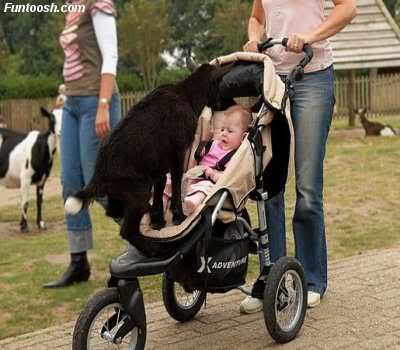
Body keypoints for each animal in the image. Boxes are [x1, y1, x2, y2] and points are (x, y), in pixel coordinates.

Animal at [66, 63, 231, 249]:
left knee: (113, 212)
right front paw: (178, 217)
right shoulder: (177, 154)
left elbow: (160, 189)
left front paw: (157, 220)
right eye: (220, 85)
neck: (185, 94)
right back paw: (153, 249)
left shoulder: (158, 168)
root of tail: (98, 174)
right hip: (141, 190)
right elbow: (175, 185)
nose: (229, 105)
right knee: (127, 231)